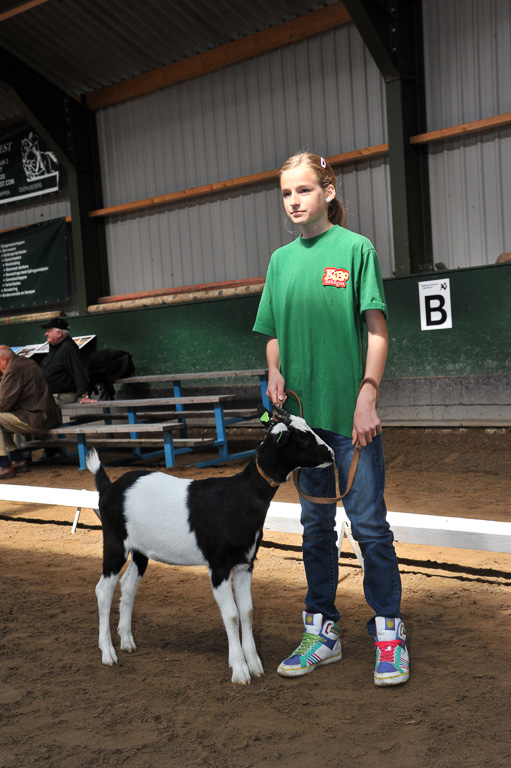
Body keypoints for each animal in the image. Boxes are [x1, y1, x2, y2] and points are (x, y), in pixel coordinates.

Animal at [86, 408, 334, 684]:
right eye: (303, 440)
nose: (331, 454)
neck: (241, 496)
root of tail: (109, 487)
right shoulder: (219, 565)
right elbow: (232, 614)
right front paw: (239, 670)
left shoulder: (244, 564)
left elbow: (247, 611)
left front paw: (255, 665)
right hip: (114, 542)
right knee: (103, 590)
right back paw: (108, 653)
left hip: (140, 550)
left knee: (128, 585)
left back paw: (128, 641)